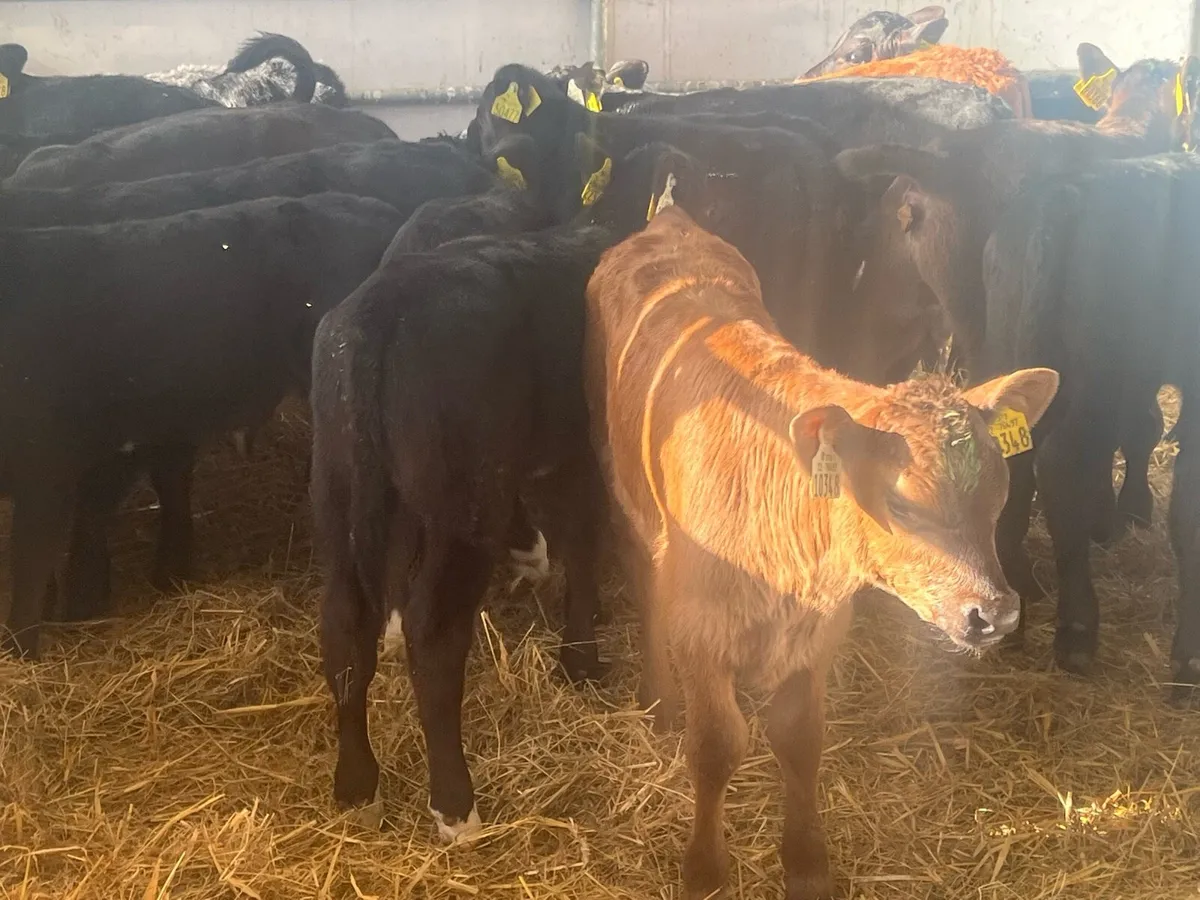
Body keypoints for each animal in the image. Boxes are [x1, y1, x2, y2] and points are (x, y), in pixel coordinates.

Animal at [311, 223, 620, 841]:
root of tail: (380, 310)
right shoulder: (580, 451)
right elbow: (583, 541)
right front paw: (581, 657)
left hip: (343, 487)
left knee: (344, 626)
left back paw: (357, 786)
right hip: (463, 504)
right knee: (435, 635)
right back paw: (456, 805)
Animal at [584, 202, 1058, 900]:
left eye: (999, 492)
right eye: (903, 504)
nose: (993, 614)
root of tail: (670, 220)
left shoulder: (820, 630)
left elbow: (800, 738)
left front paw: (807, 863)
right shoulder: (701, 629)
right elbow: (716, 747)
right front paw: (704, 870)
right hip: (619, 481)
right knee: (641, 577)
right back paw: (660, 701)